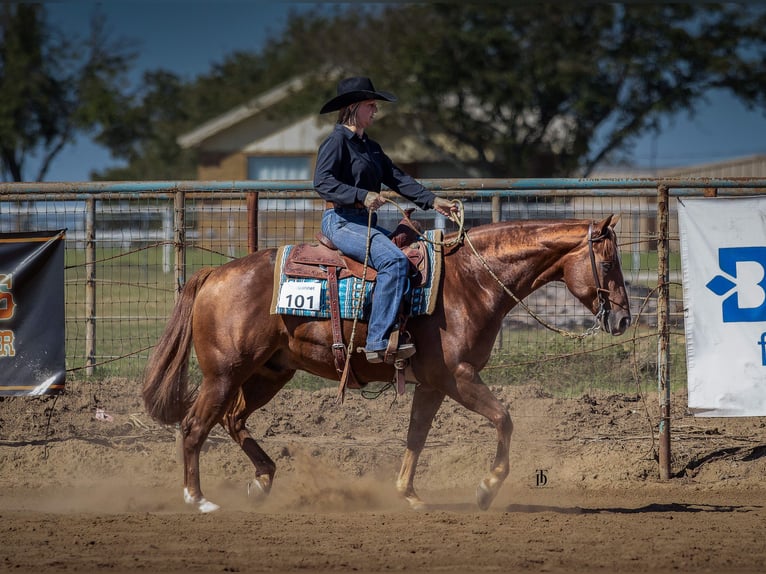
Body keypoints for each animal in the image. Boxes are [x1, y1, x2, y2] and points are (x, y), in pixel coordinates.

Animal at [142, 214, 631, 513]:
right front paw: (486, 488)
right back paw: (197, 498)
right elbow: (503, 419)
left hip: (269, 373)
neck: (471, 281)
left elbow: (416, 436)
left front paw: (408, 494)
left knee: (233, 420)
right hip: (224, 374)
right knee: (195, 426)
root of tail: (214, 274)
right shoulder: (458, 376)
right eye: (608, 264)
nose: (624, 318)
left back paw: (262, 480)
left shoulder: (431, 384)